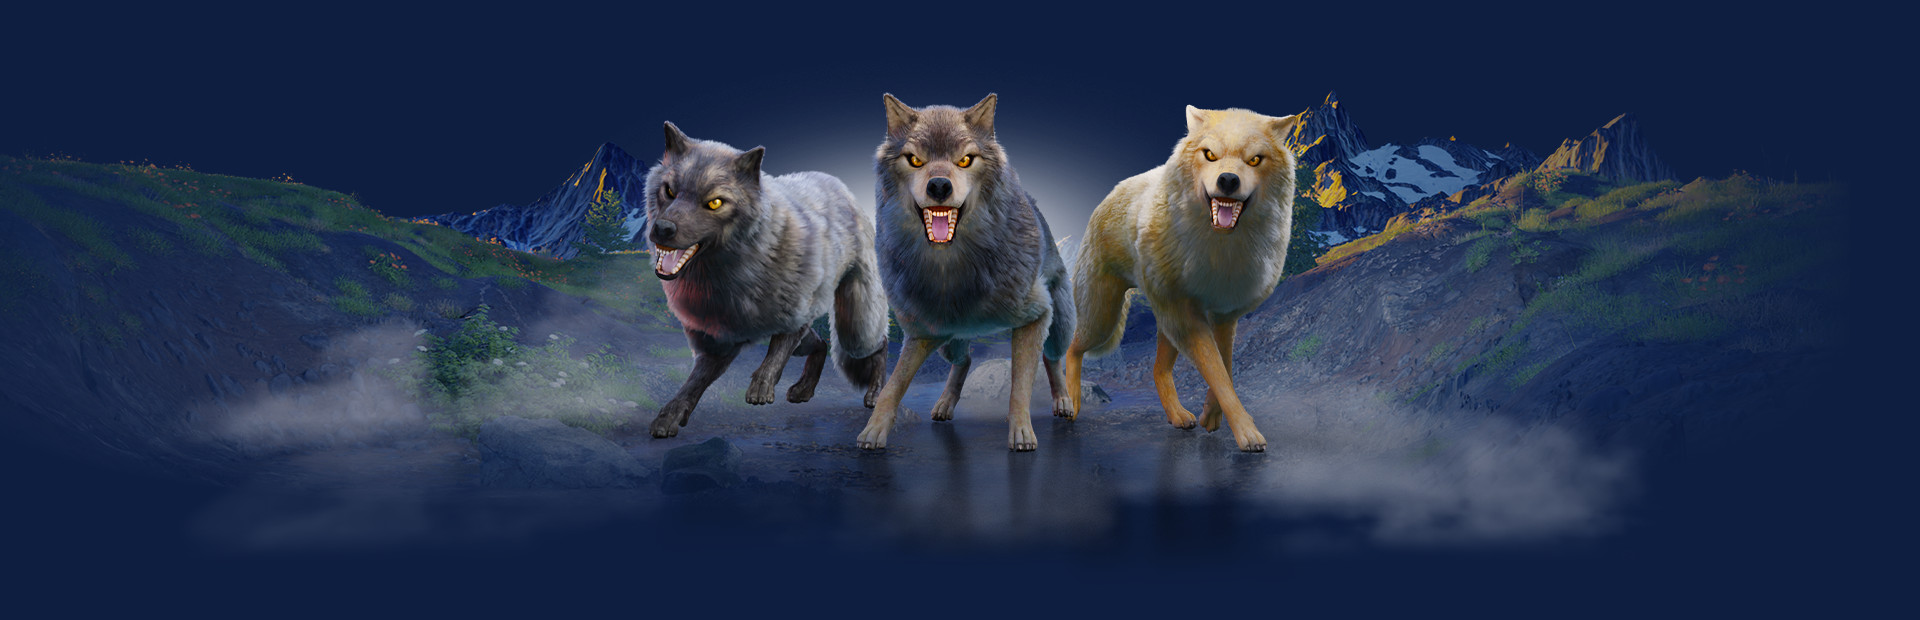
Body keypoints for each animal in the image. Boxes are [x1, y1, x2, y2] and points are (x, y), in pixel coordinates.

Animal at [643, 121, 889, 438]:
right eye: (670, 191)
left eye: (715, 203)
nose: (662, 229)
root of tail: (841, 187)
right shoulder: (718, 343)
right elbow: (694, 383)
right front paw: (671, 414)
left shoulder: (799, 313)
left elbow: (776, 351)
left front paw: (761, 385)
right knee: (821, 343)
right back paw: (804, 389)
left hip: (854, 332)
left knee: (880, 345)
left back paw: (875, 393)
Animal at [857, 93, 1075, 452]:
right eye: (914, 160)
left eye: (965, 160)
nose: (939, 186)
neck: (952, 269)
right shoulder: (922, 331)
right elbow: (893, 386)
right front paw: (873, 430)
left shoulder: (1036, 314)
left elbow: (1020, 385)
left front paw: (1021, 433)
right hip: (948, 340)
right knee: (964, 362)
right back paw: (945, 404)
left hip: (1061, 325)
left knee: (1052, 359)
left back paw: (1063, 401)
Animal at [1061, 105, 1300, 452]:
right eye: (1210, 154)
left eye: (1255, 159)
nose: (1228, 180)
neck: (1220, 249)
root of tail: (1115, 190)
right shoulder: (1189, 317)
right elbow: (1217, 371)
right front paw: (1246, 432)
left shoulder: (1224, 315)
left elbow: (1225, 367)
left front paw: (1211, 416)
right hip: (1105, 318)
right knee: (1073, 348)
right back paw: (1071, 403)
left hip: (1163, 321)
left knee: (1158, 369)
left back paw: (1177, 416)